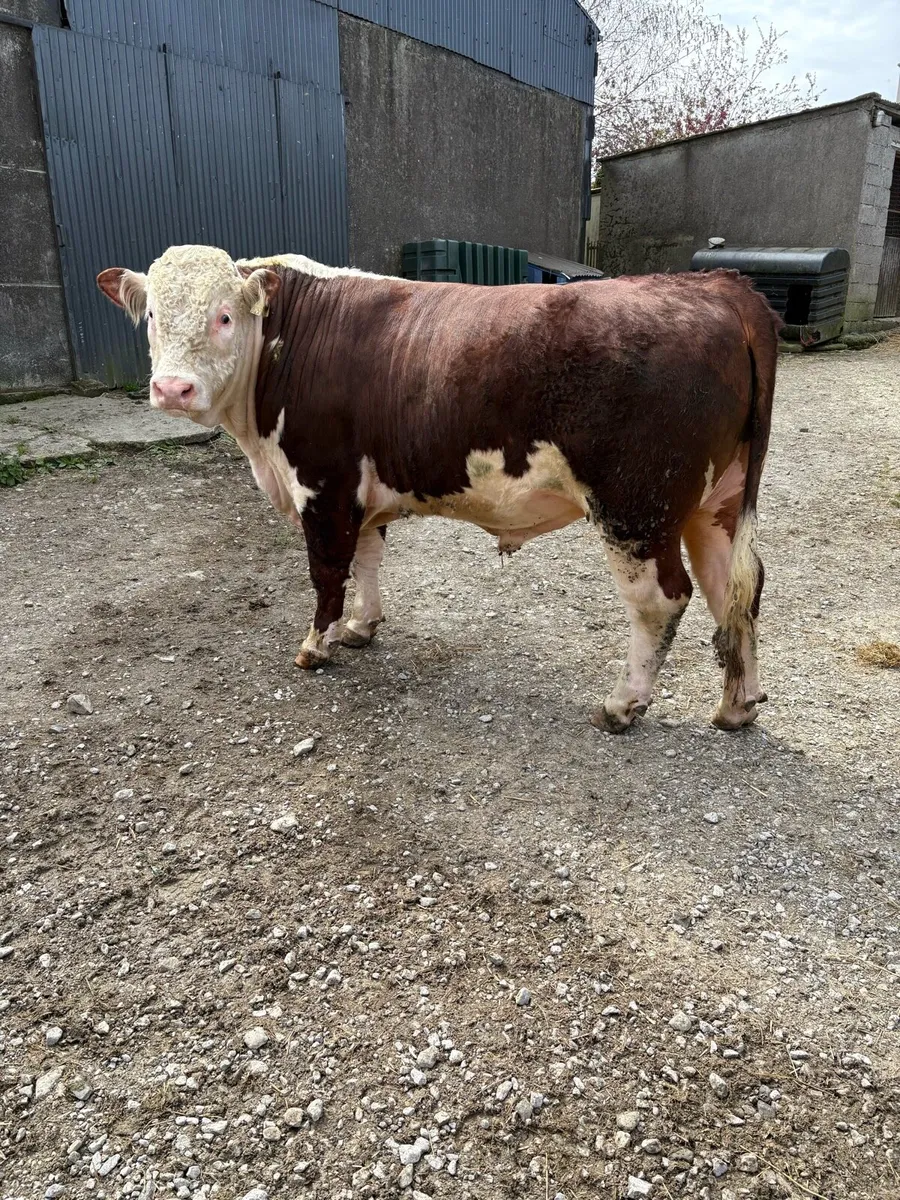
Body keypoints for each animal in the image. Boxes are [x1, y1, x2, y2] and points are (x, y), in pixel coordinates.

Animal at [97, 245, 780, 732]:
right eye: (152, 315)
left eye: (224, 316)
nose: (173, 389)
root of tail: (718, 286)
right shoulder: (361, 491)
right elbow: (367, 558)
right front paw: (362, 627)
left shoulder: (323, 484)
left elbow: (327, 571)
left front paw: (317, 645)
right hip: (714, 504)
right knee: (735, 587)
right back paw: (737, 706)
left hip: (636, 507)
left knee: (662, 599)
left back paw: (622, 705)